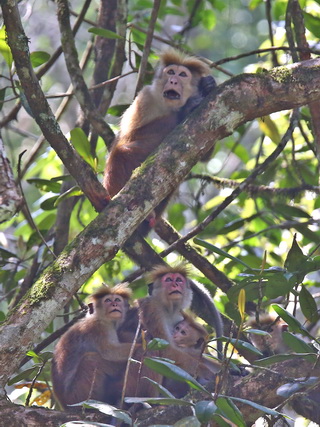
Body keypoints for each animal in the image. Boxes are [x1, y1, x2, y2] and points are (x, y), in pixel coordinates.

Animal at [104, 49, 216, 232]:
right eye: (170, 72)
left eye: (182, 74)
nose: (173, 80)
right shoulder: (145, 97)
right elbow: (129, 136)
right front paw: (187, 108)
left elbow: (205, 154)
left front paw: (207, 85)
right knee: (121, 153)